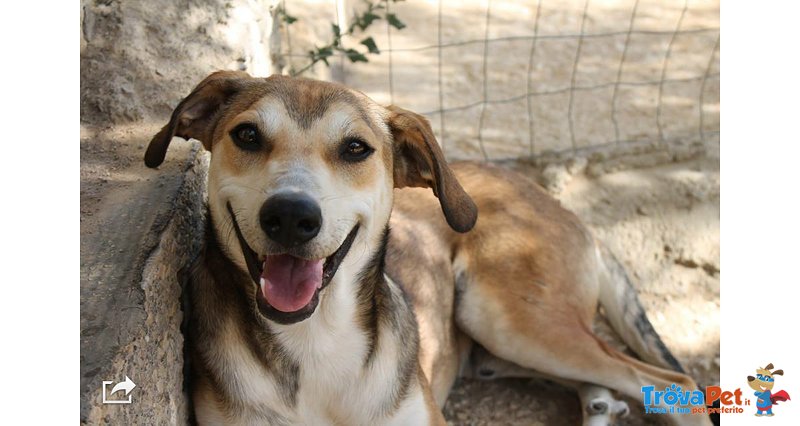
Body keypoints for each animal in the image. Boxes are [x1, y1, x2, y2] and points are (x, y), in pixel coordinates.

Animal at [144, 71, 712, 424]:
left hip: (512, 320)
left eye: (356, 148)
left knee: (677, 384)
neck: (316, 341)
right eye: (247, 135)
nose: (290, 216)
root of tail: (557, 204)